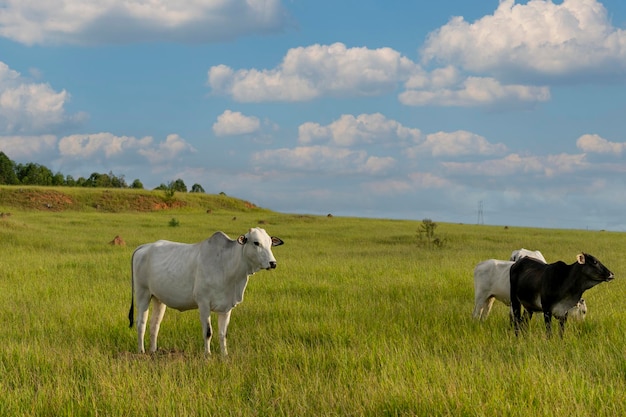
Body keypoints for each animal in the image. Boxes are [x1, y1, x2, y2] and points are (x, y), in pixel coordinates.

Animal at [128, 228, 284, 354]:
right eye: (256, 243)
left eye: (270, 243)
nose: (273, 263)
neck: (225, 265)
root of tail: (145, 246)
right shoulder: (203, 303)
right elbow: (208, 332)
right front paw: (207, 355)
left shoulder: (227, 307)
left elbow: (223, 334)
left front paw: (224, 355)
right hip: (143, 294)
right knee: (141, 323)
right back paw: (141, 352)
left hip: (158, 299)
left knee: (154, 324)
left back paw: (153, 351)